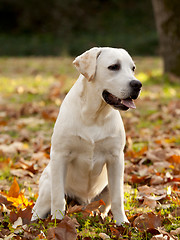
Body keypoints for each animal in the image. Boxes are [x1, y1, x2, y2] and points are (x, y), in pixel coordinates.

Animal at [32, 46, 142, 225]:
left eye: (133, 68)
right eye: (114, 67)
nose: (137, 84)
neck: (94, 115)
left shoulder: (116, 159)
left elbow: (118, 198)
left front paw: (122, 223)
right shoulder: (60, 155)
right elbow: (58, 198)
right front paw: (57, 222)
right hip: (47, 187)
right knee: (38, 209)